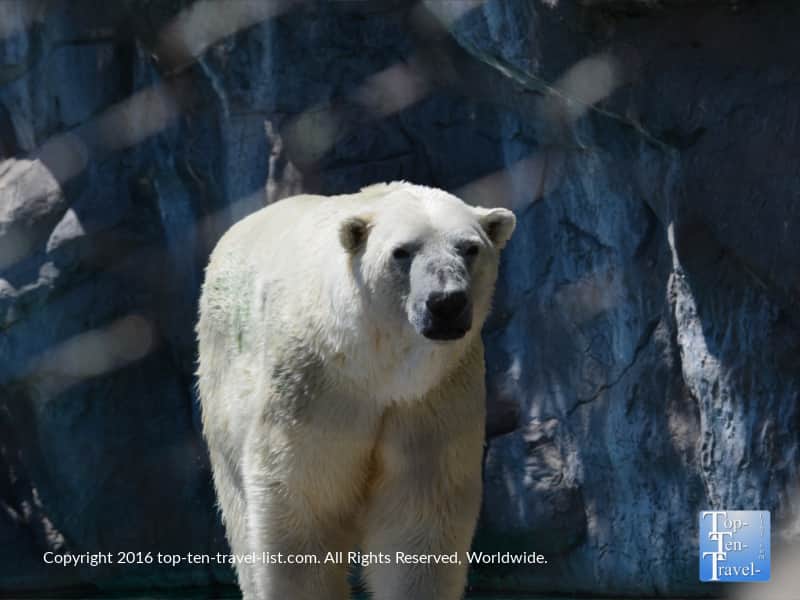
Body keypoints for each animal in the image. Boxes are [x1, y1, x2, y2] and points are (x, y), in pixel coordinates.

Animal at [196, 181, 515, 600]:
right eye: (402, 251)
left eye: (470, 248)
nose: (446, 302)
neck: (375, 366)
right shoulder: (314, 386)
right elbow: (303, 504)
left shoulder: (432, 397)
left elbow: (419, 518)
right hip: (223, 385)